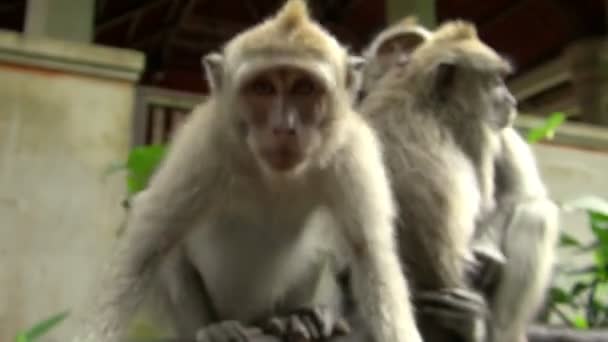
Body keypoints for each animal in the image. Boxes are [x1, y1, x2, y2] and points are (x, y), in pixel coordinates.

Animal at [72, 0, 422, 342]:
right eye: (263, 88)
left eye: (305, 88)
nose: (284, 128)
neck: (277, 176)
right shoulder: (204, 144)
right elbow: (147, 242)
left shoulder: (353, 151)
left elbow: (370, 254)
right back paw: (213, 328)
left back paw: (294, 319)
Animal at [358, 17, 560, 342]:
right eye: (495, 80)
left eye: (410, 46)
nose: (510, 99)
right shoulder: (476, 124)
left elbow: (522, 192)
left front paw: (487, 251)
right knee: (539, 214)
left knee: (533, 208)